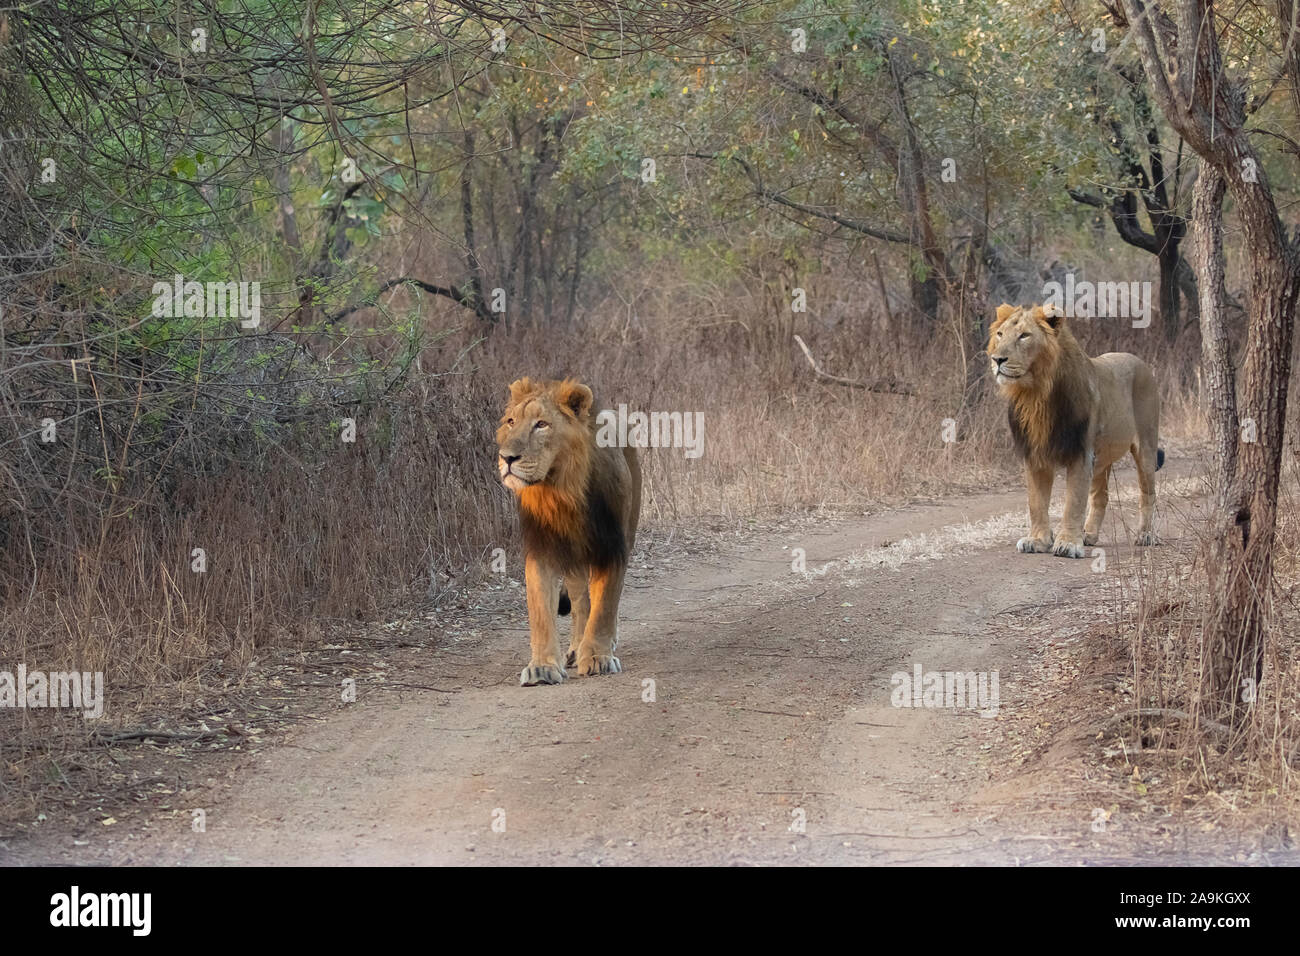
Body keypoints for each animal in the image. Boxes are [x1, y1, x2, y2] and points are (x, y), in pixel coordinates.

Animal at [496, 377, 641, 685]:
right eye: (511, 422)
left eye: (541, 424)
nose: (507, 458)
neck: (560, 491)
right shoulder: (542, 548)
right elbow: (541, 610)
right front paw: (542, 667)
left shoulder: (612, 548)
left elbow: (605, 605)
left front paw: (598, 657)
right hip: (574, 560)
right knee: (580, 602)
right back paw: (575, 648)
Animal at [988, 303, 1163, 558]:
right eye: (1000, 334)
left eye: (1024, 336)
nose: (997, 359)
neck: (1036, 394)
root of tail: (1141, 363)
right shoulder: (1035, 454)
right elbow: (1036, 502)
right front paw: (1038, 540)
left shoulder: (1081, 453)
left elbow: (1073, 502)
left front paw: (1068, 543)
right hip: (1101, 459)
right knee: (1100, 496)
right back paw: (1088, 535)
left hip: (1146, 448)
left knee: (1148, 493)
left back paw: (1146, 535)